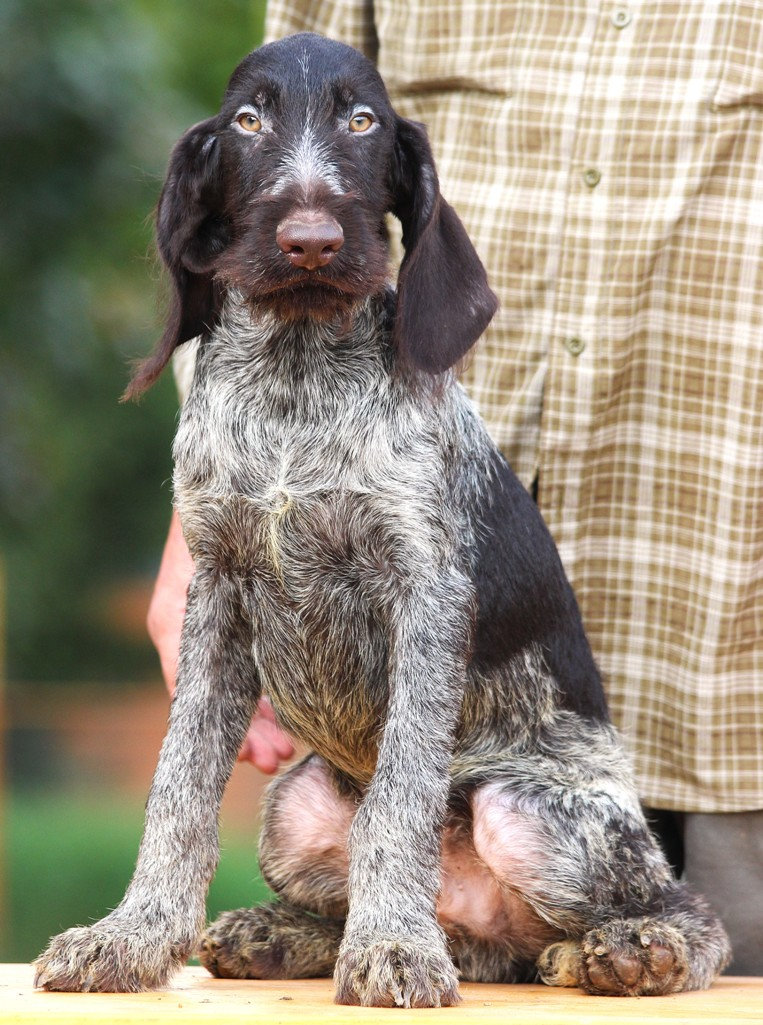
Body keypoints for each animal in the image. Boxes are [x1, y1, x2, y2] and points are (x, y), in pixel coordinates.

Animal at [34, 33, 730, 1006]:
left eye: (362, 122)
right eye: (247, 122)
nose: (310, 239)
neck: (295, 375)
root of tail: (486, 932)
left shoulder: (424, 595)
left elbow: (398, 801)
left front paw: (394, 945)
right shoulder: (216, 594)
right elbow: (178, 791)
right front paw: (133, 935)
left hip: (529, 810)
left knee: (683, 907)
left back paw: (632, 950)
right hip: (294, 805)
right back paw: (282, 933)